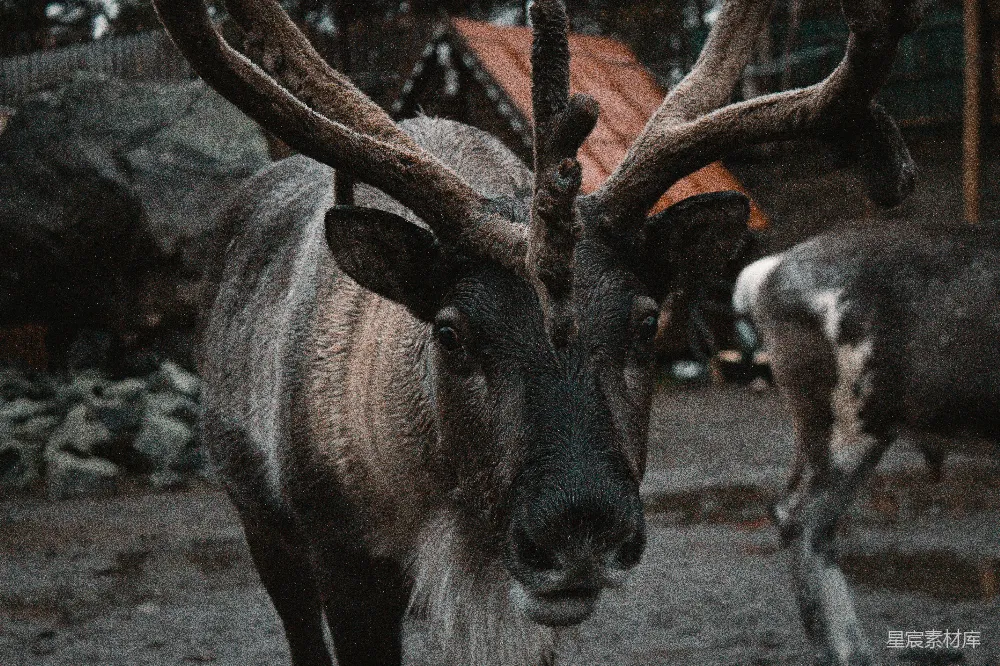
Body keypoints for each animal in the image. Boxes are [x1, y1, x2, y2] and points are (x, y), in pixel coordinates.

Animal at [152, 0, 922, 663]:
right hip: (258, 516)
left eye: (647, 321)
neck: (455, 519)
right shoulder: (344, 556)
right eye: (449, 332)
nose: (579, 528)